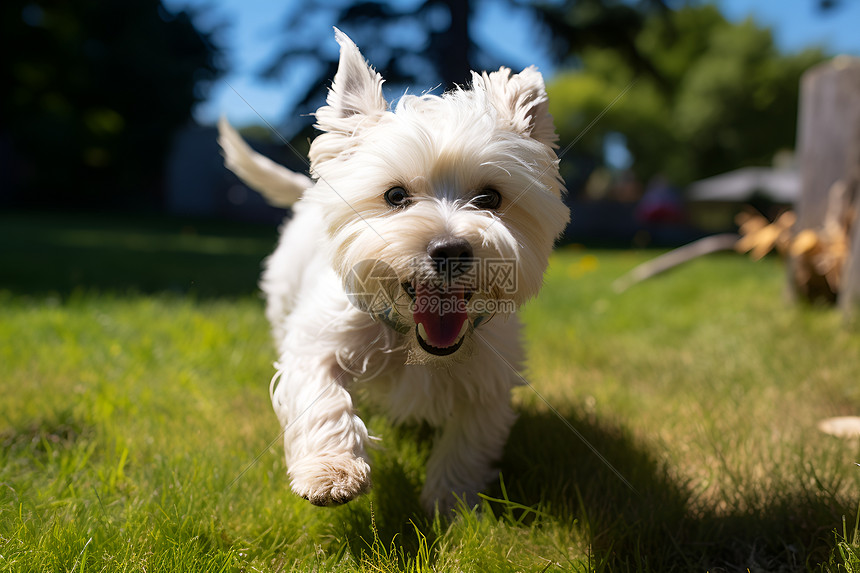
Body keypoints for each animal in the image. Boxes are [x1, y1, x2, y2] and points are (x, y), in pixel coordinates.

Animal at [220, 29, 572, 512]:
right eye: (395, 195)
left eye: (490, 198)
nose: (449, 250)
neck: (413, 340)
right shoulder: (316, 343)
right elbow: (323, 397)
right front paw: (332, 471)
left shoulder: (488, 380)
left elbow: (467, 443)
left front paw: (450, 505)